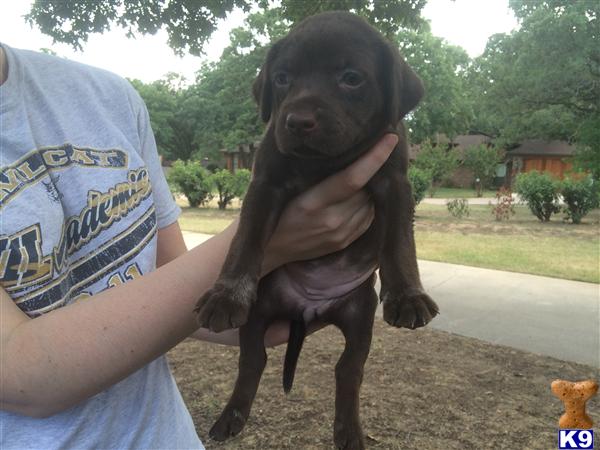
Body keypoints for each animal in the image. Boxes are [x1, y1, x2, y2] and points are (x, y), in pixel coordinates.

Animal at [195, 11, 438, 450]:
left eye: (351, 78)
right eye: (282, 78)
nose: (297, 121)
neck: (327, 162)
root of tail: (306, 308)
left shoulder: (395, 182)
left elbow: (399, 243)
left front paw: (408, 295)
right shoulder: (264, 183)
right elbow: (244, 240)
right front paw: (226, 294)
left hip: (359, 314)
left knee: (349, 370)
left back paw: (349, 433)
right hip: (261, 309)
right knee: (253, 360)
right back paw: (231, 417)